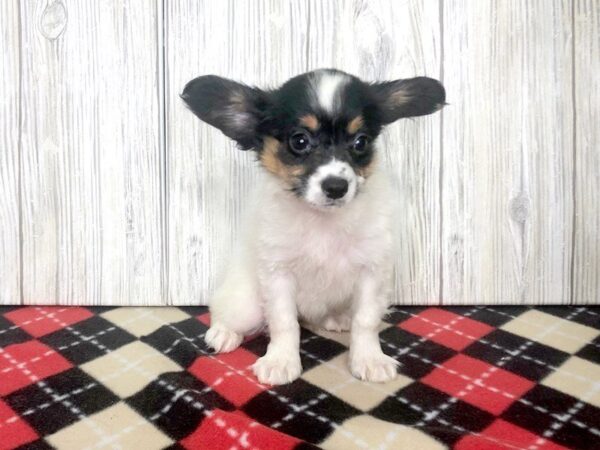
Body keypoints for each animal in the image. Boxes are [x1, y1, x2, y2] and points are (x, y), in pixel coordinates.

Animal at [180, 68, 442, 384]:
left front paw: (369, 359)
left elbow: (366, 321)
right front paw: (281, 361)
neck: (323, 223)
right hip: (245, 303)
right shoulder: (278, 273)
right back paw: (223, 333)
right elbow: (284, 323)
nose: (336, 187)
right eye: (300, 141)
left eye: (361, 142)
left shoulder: (372, 271)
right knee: (225, 310)